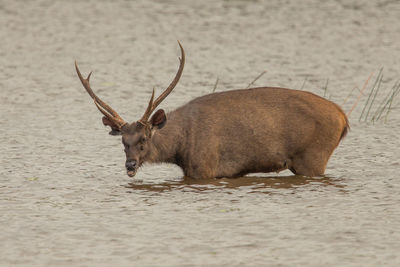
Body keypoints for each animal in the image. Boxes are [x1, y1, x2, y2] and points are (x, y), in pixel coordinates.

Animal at [76, 42, 350, 180]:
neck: (180, 147)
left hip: (313, 157)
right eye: (123, 141)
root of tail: (342, 117)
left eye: (144, 138)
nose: (130, 165)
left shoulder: (204, 168)